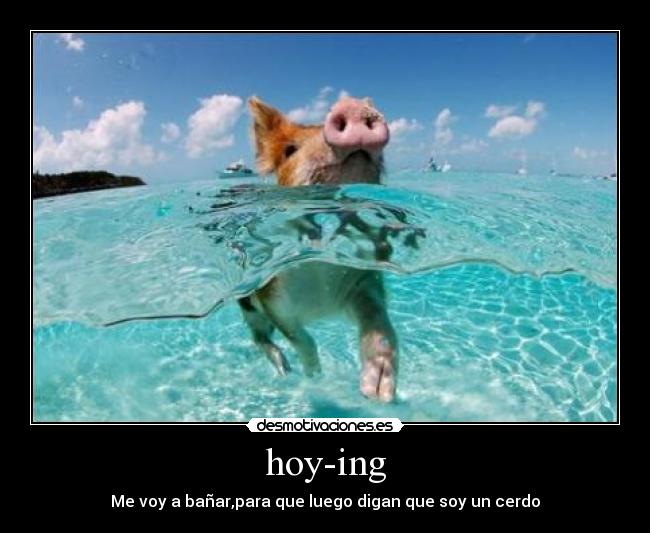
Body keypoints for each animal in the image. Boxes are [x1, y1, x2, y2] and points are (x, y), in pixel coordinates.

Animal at [239, 96, 397, 402]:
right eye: (289, 150)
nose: (352, 105)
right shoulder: (271, 297)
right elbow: (299, 337)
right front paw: (314, 374)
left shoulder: (362, 279)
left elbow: (378, 322)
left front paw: (378, 392)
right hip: (248, 306)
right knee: (258, 336)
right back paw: (284, 369)